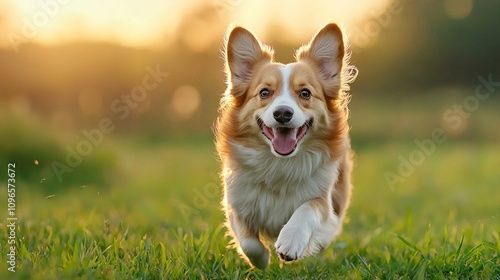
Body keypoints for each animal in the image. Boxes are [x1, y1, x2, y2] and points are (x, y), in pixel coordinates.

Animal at [214, 23, 356, 268]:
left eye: (305, 93)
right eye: (264, 92)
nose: (282, 113)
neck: (279, 163)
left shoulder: (325, 204)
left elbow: (308, 208)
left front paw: (291, 241)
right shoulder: (236, 204)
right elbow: (248, 242)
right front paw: (262, 261)